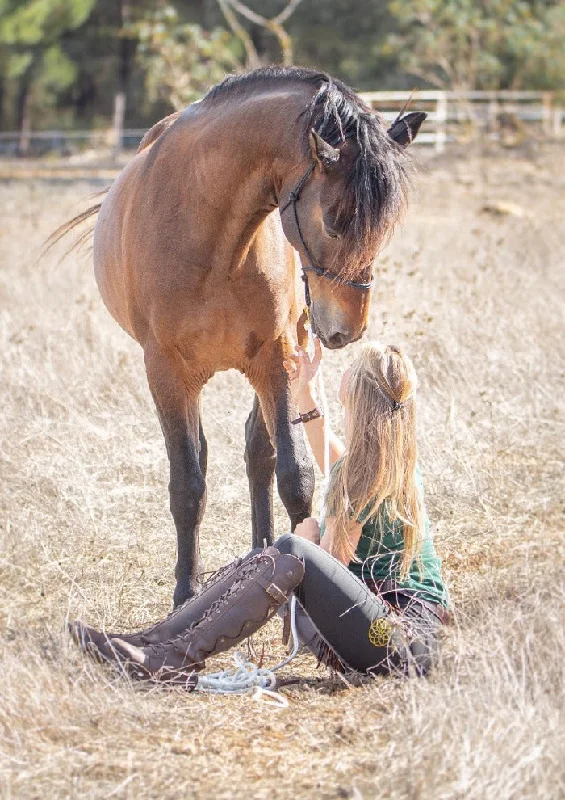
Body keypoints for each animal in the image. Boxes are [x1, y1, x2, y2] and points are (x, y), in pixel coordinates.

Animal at [54, 69, 424, 608]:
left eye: (384, 228)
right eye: (334, 222)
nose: (346, 329)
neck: (207, 233)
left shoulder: (276, 358)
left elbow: (293, 474)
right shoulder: (166, 372)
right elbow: (187, 485)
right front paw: (185, 592)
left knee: (259, 451)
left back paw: (260, 548)